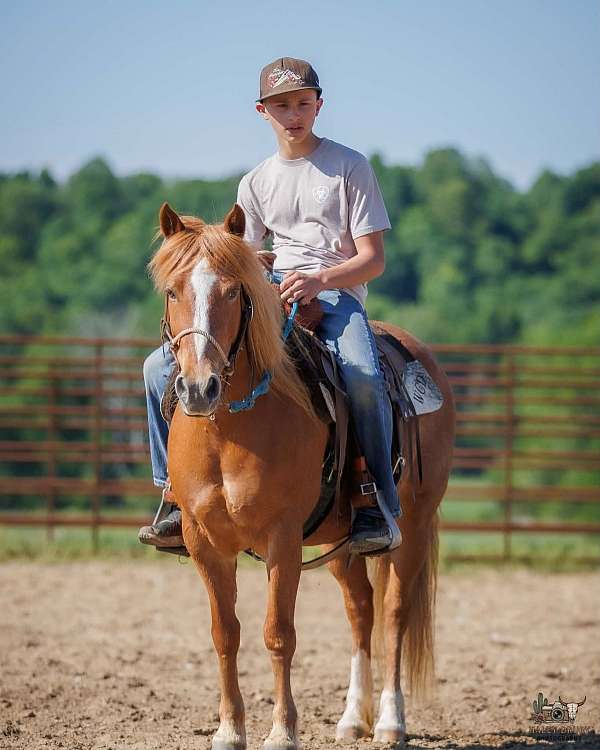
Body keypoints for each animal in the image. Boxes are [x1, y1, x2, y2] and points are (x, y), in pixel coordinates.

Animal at [150, 201, 455, 750]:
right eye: (172, 290)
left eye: (234, 291)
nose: (199, 388)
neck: (230, 429)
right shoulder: (203, 539)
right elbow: (225, 633)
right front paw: (229, 729)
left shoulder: (283, 538)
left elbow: (278, 633)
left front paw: (282, 731)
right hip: (340, 538)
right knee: (361, 609)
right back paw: (353, 718)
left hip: (416, 522)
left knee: (394, 613)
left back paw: (390, 721)